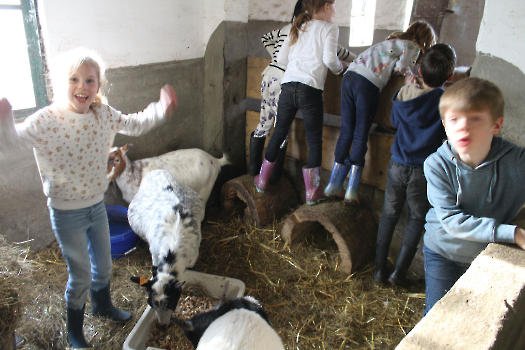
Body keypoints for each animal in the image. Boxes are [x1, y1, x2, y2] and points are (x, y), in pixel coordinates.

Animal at [128, 170, 206, 326]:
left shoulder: (192, 259)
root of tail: (157, 170)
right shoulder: (155, 255)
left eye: (172, 303)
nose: (163, 326)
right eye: (150, 304)